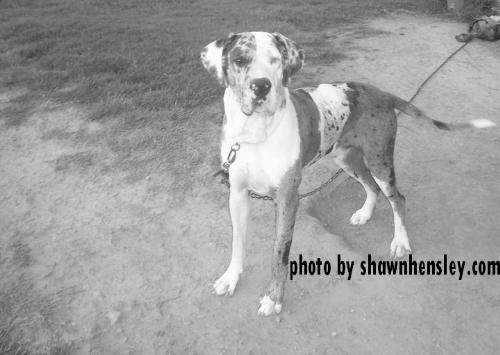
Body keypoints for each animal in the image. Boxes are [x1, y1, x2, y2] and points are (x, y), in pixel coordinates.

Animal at [201, 31, 494, 318]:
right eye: (239, 60)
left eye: (276, 60)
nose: (261, 86)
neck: (254, 134)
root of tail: (383, 94)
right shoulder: (237, 195)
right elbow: (237, 242)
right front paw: (230, 278)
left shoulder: (287, 199)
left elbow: (279, 252)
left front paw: (274, 298)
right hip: (347, 160)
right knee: (371, 187)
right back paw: (365, 214)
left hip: (379, 161)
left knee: (398, 198)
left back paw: (400, 242)